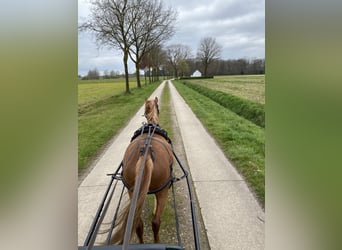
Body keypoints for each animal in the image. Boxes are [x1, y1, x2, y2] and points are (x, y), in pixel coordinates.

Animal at [109, 96, 174, 245]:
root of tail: (146, 153)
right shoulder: (162, 189)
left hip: (132, 191)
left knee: (138, 223)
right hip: (163, 190)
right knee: (156, 221)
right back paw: (157, 242)